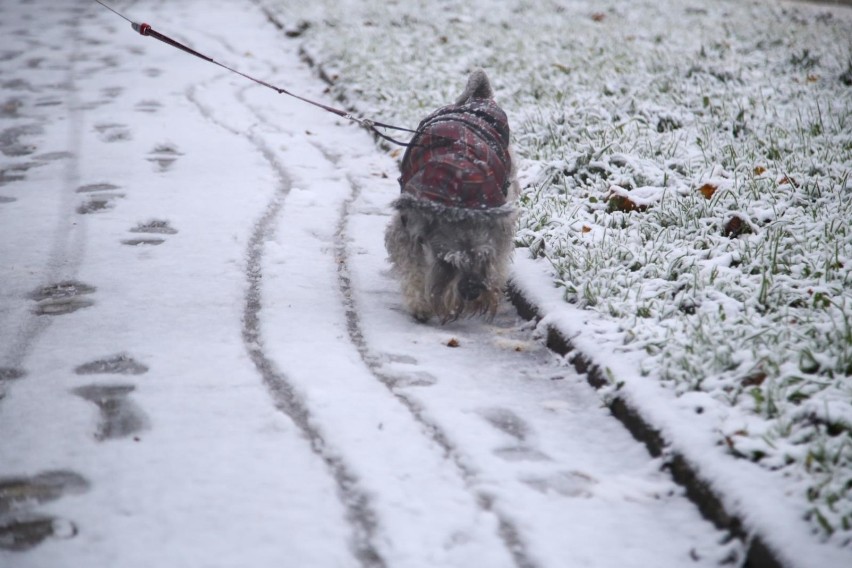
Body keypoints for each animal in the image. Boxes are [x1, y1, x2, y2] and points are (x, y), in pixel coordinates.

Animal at [386, 68, 520, 322]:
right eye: (446, 262)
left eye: (483, 257)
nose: (472, 291)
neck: (459, 194)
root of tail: (479, 99)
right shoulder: (407, 226)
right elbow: (412, 266)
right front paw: (420, 304)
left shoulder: (499, 226)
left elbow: (500, 256)